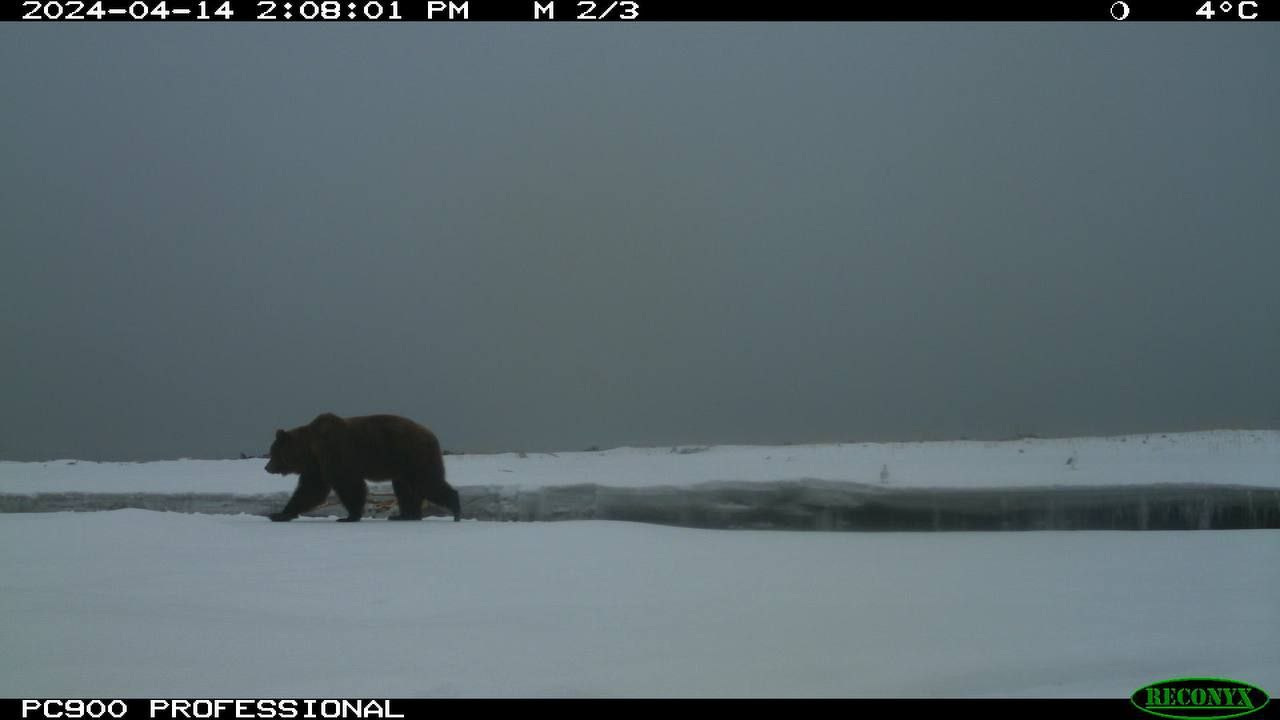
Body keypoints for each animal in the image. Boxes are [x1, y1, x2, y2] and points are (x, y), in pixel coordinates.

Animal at [263, 409, 460, 520]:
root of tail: (431, 434)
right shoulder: (317, 465)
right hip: (402, 465)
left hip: (413, 455)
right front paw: (280, 514)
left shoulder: (335, 453)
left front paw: (349, 516)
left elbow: (347, 485)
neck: (311, 449)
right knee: (406, 488)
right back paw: (405, 515)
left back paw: (455, 510)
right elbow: (310, 489)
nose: (267, 467)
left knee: (427, 482)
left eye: (273, 452)